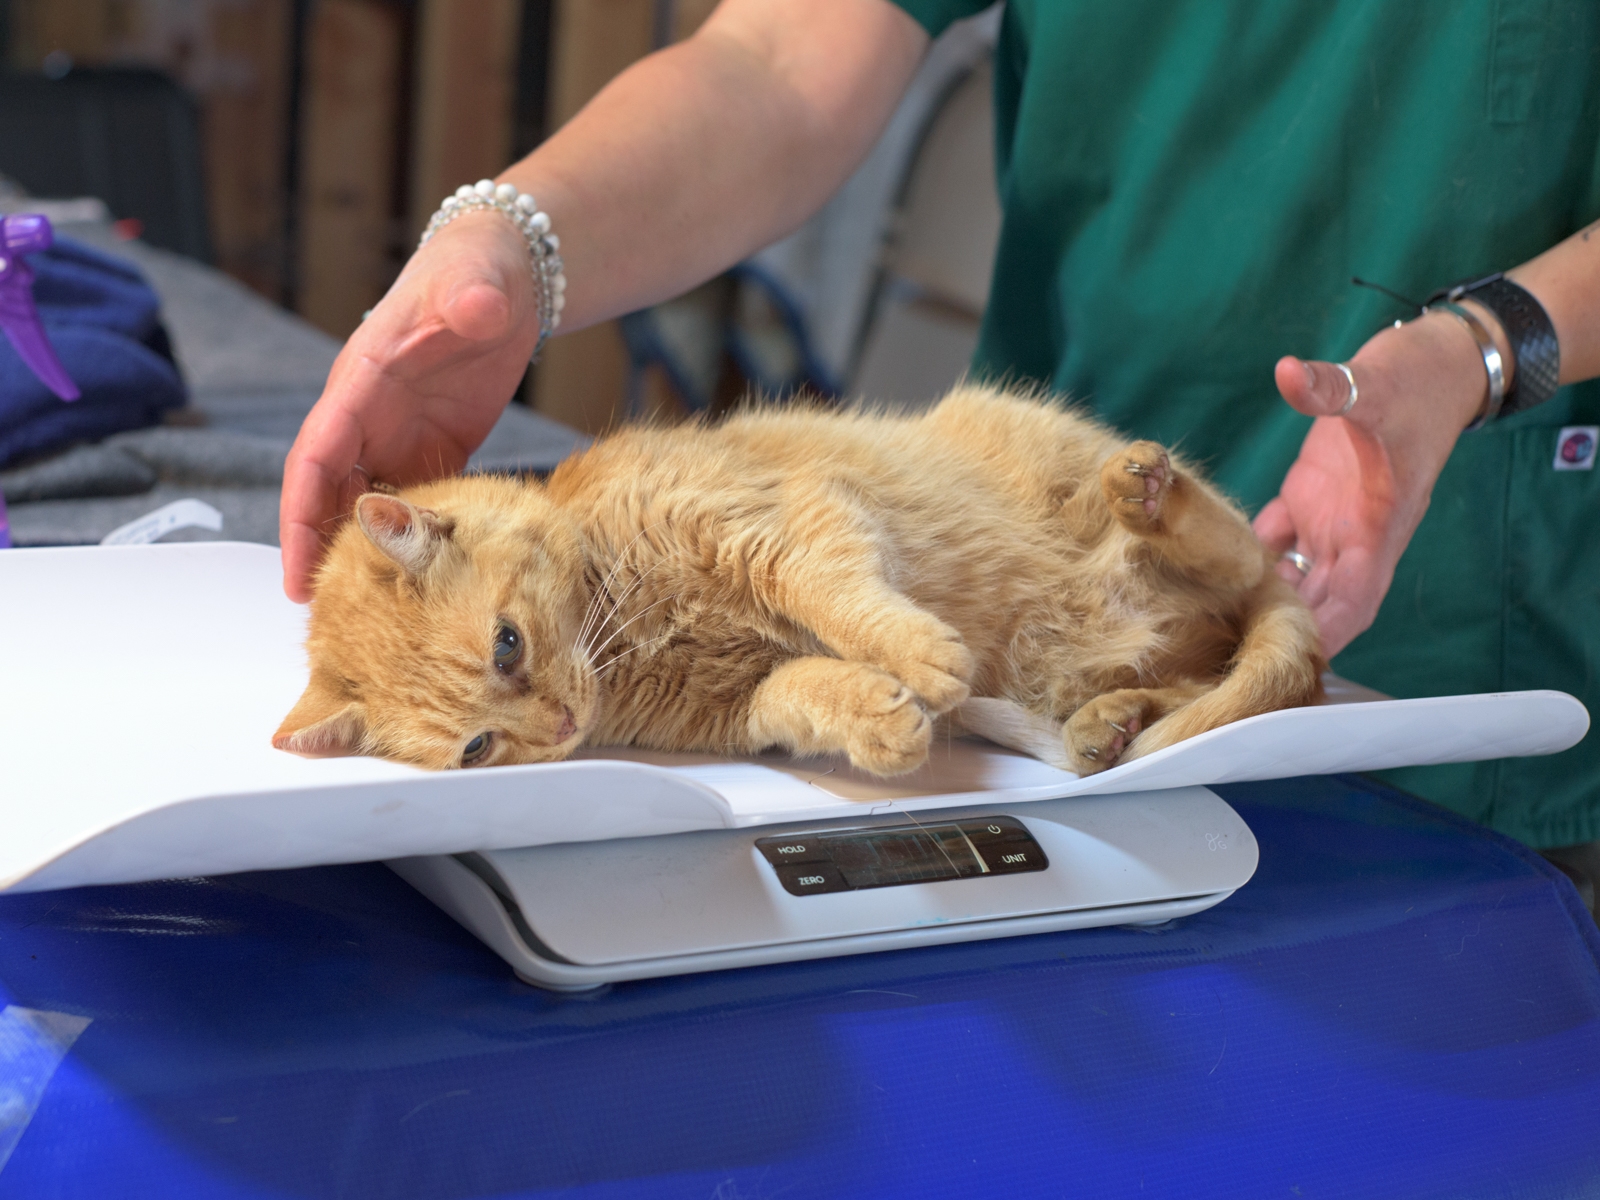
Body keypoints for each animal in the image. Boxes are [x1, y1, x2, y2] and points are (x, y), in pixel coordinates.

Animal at [278, 387, 1324, 780]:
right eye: (478, 748)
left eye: (508, 644)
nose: (563, 729)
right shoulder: (739, 712)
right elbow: (802, 688)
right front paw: (884, 722)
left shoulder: (783, 529)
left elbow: (843, 602)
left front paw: (922, 658)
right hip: (1112, 663)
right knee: (1197, 679)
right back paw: (1108, 726)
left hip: (1064, 461)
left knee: (1244, 553)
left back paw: (1146, 492)